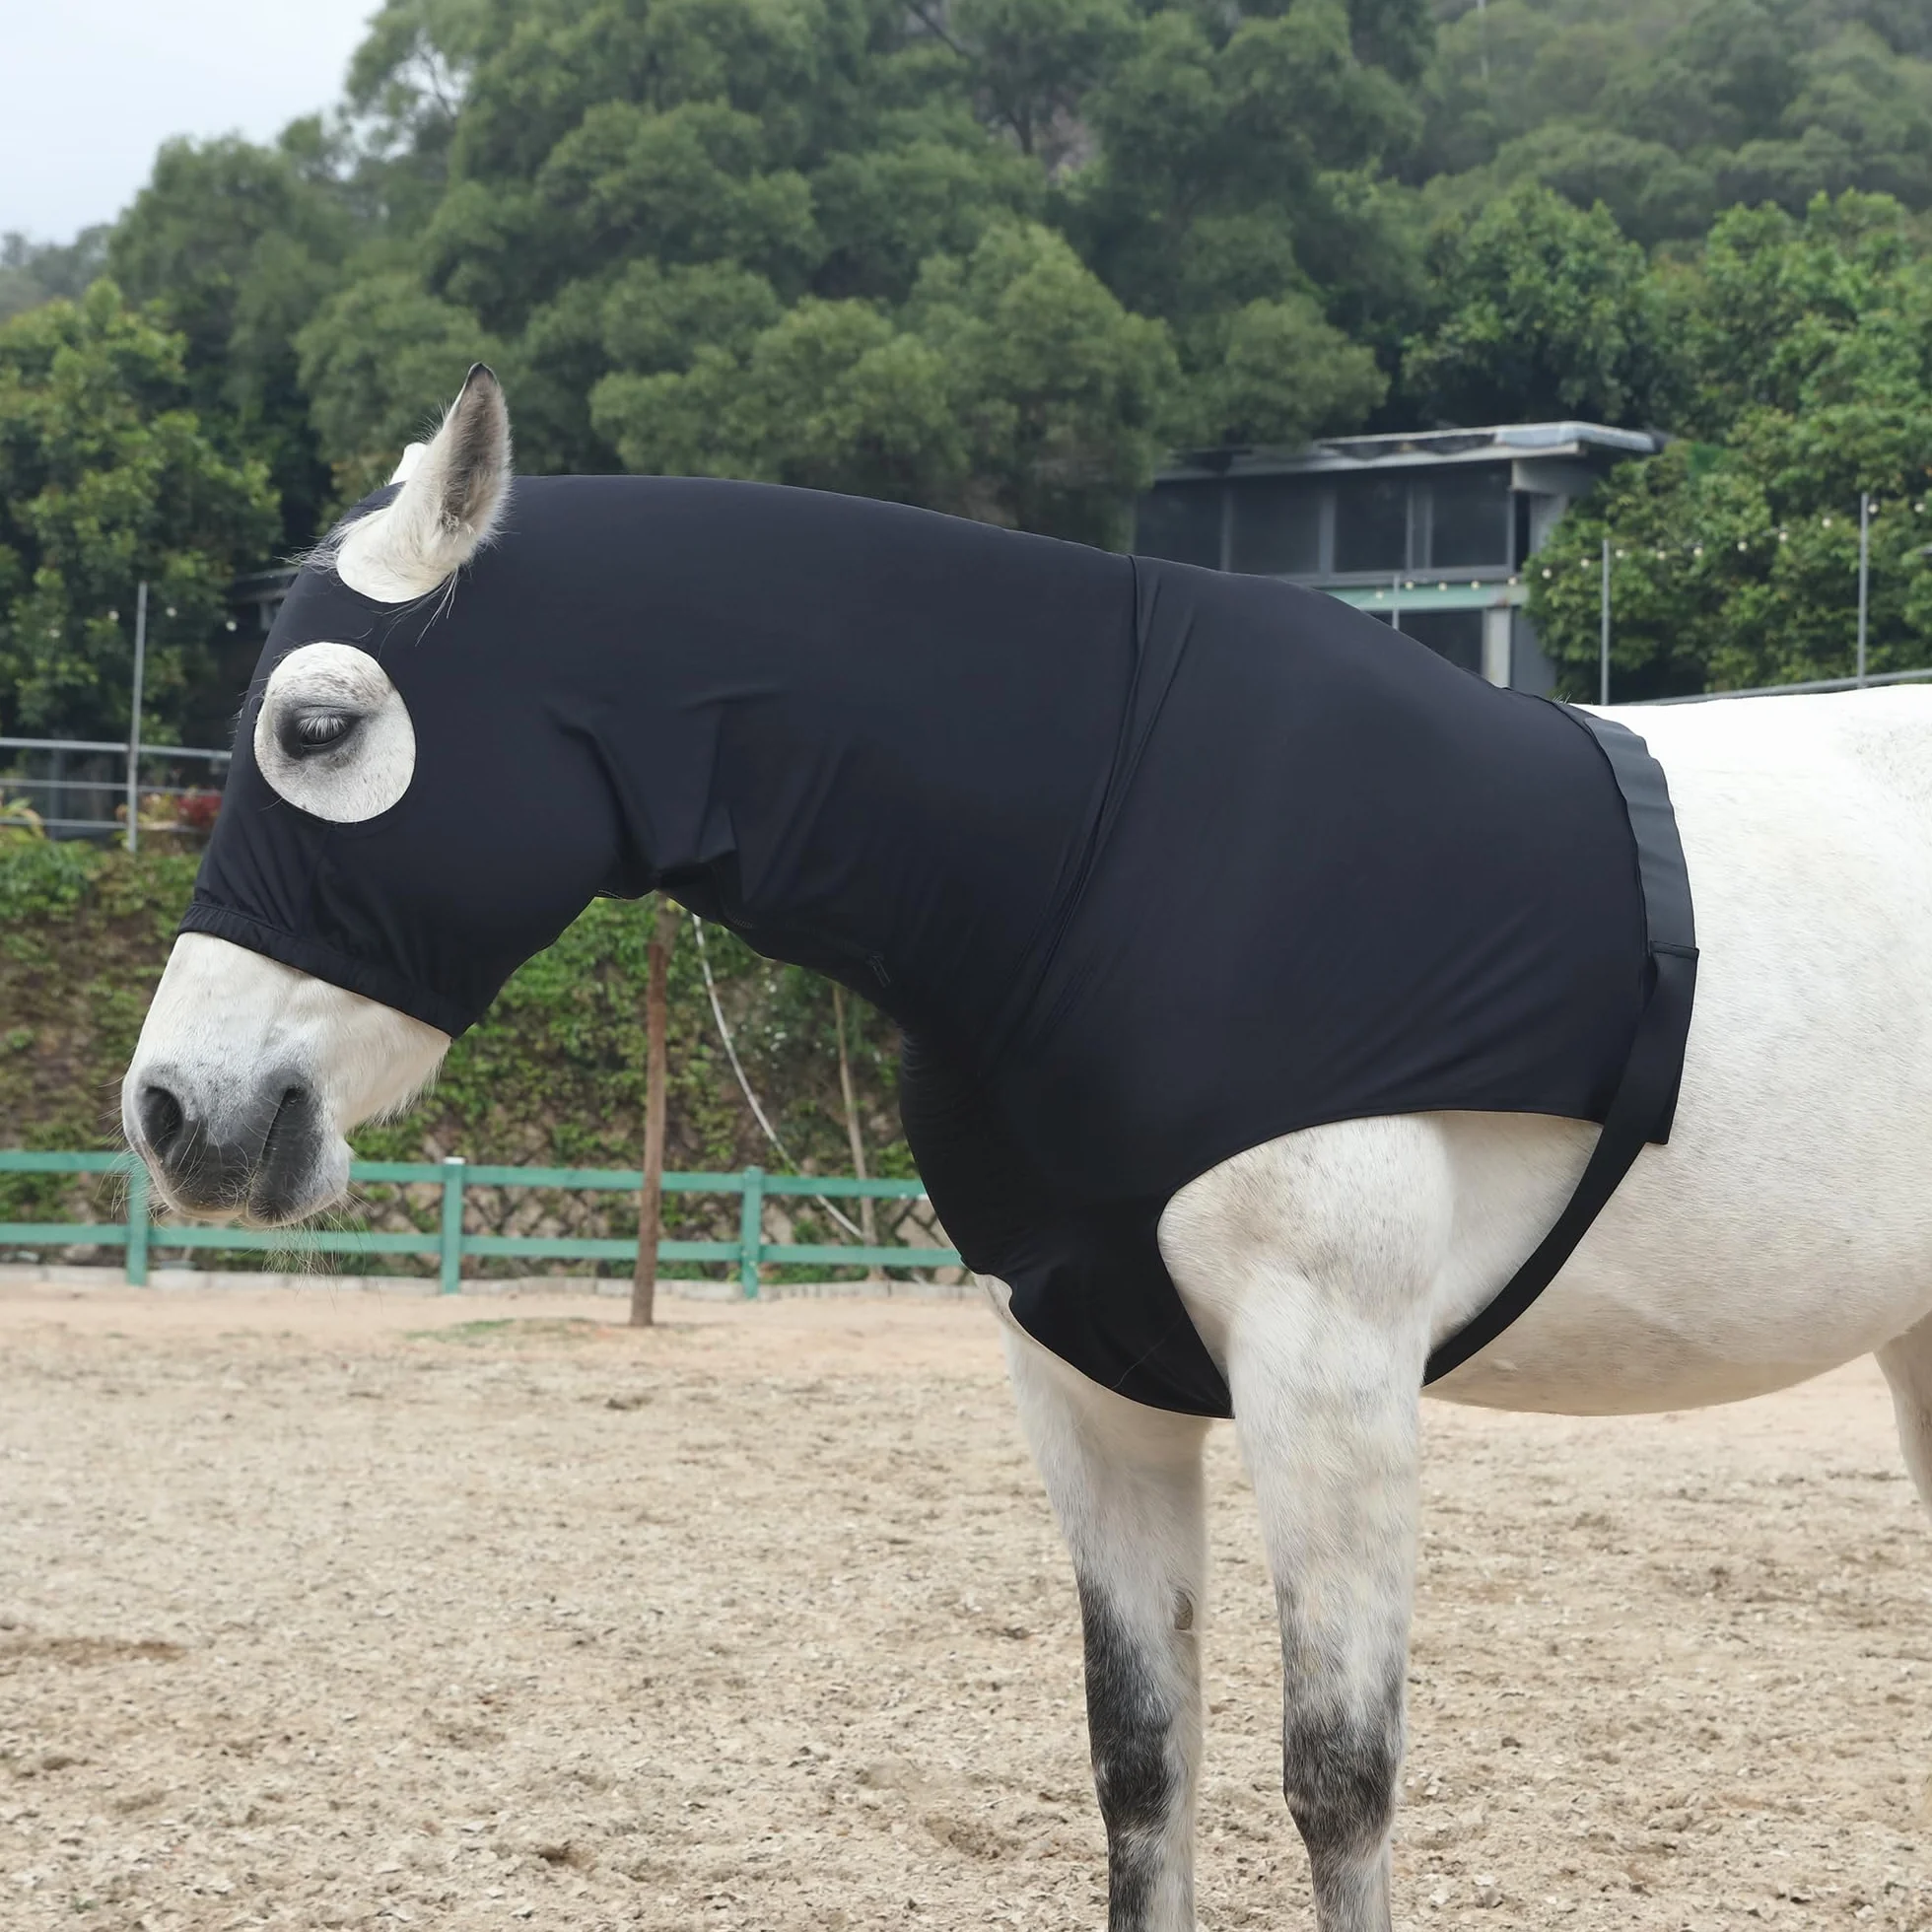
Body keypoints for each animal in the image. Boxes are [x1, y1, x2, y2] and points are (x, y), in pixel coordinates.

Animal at [120, 369, 1932, 1932]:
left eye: (318, 730)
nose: (176, 1114)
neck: (1106, 843)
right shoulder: (1084, 1378)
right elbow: (1141, 1760)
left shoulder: (1330, 1373)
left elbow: (1338, 1781)